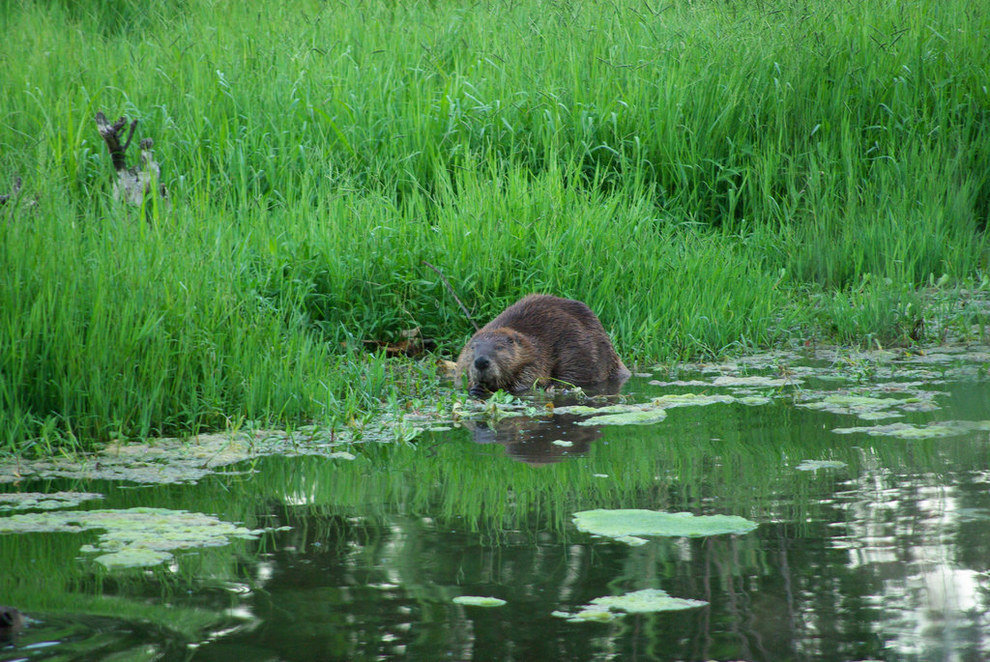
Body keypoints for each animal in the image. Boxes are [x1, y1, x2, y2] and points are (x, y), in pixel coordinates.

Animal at [456, 296, 632, 400]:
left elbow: (529, 380)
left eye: (499, 347)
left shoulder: (534, 358)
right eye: (473, 347)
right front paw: (474, 388)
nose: (481, 362)